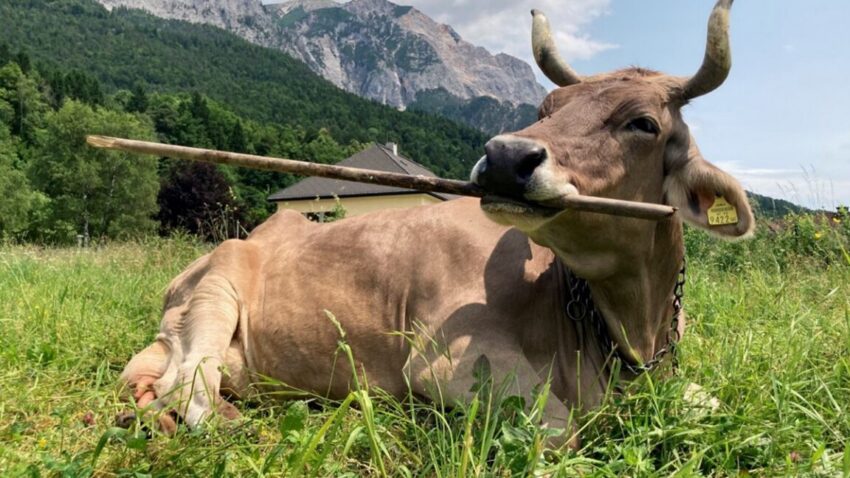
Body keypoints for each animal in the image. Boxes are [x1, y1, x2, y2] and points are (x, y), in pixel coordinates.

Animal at [119, 0, 752, 446]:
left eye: (643, 123)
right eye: (546, 109)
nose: (505, 157)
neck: (628, 332)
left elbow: (716, 404)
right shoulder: (448, 362)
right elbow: (561, 431)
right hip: (218, 287)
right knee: (189, 387)